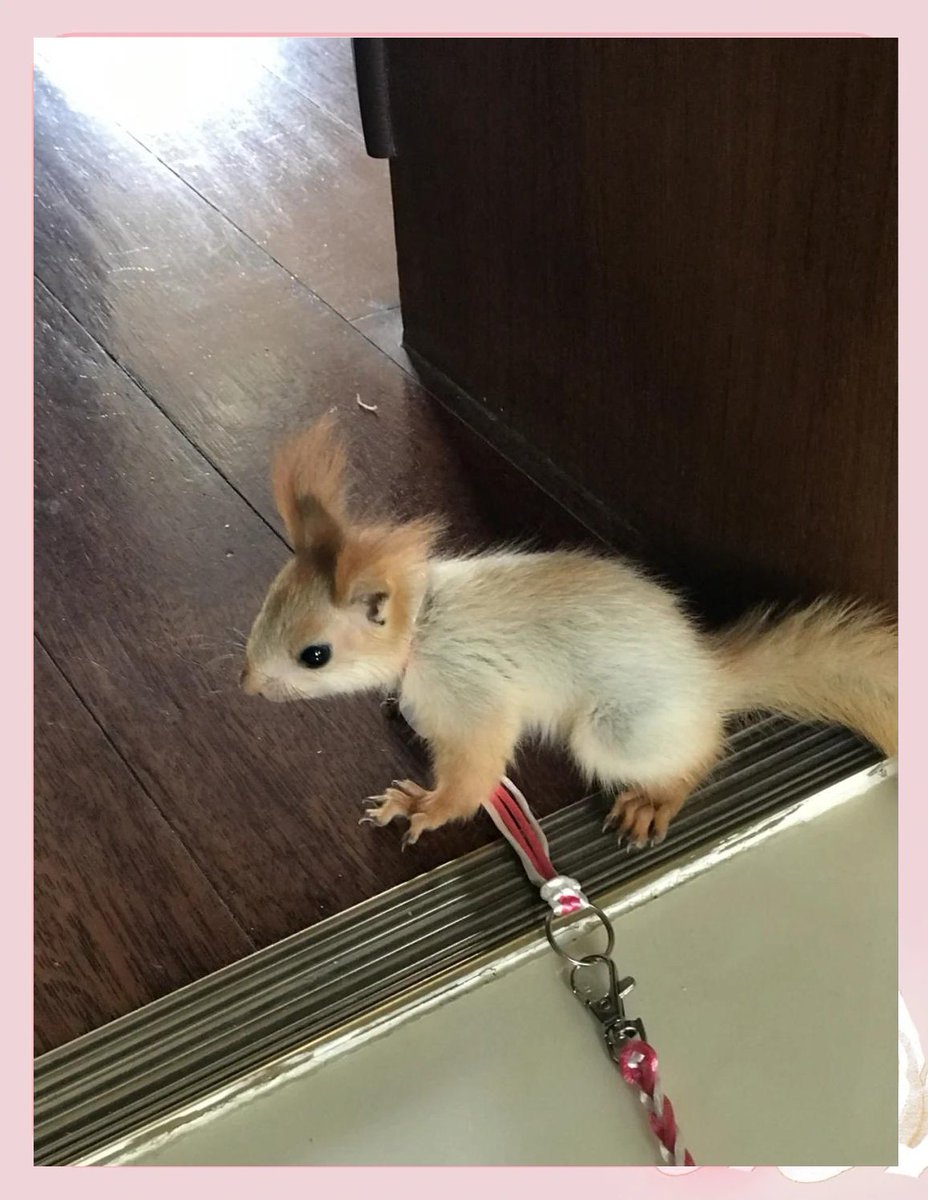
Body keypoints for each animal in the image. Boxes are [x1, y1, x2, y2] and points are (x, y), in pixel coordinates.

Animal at [241, 416, 897, 849]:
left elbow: (475, 769)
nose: (247, 685)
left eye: (315, 655)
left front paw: (423, 807)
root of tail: (708, 677)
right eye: (266, 602)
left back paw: (656, 799)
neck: (423, 626)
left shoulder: (470, 695)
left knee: (699, 751)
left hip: (616, 732)